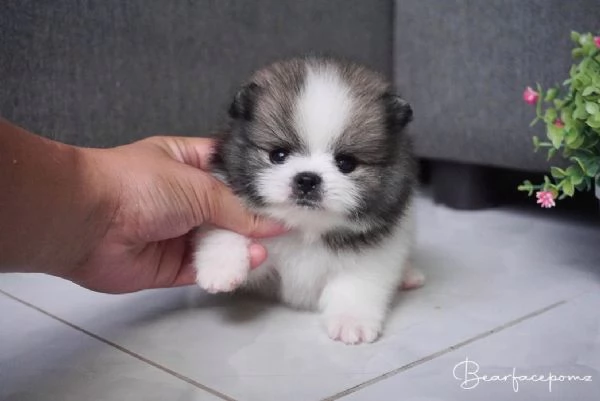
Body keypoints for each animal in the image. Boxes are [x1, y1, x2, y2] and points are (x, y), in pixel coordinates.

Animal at [195, 56, 424, 344]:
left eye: (346, 163)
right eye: (278, 155)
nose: (307, 179)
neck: (305, 228)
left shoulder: (376, 254)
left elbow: (356, 285)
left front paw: (351, 321)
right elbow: (226, 229)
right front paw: (220, 267)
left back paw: (409, 274)